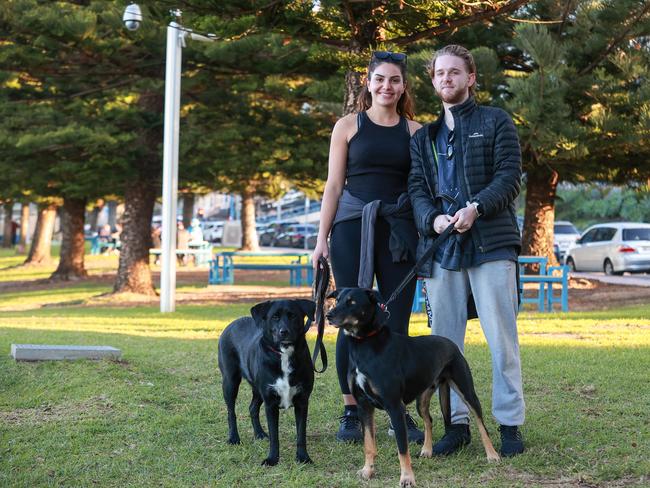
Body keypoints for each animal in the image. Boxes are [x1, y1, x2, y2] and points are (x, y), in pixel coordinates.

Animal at [216, 298, 316, 466]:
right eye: (275, 317)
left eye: (293, 316)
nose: (284, 332)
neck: (284, 354)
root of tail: (233, 322)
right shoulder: (271, 403)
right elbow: (275, 436)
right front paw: (272, 459)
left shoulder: (302, 401)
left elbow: (301, 434)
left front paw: (303, 457)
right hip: (230, 381)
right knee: (231, 412)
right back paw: (234, 438)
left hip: (257, 389)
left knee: (252, 408)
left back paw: (259, 434)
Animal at [326, 288, 498, 486]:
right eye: (337, 300)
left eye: (352, 302)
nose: (328, 315)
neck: (365, 344)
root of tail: (450, 343)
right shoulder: (364, 406)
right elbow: (369, 444)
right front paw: (368, 471)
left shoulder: (394, 407)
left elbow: (402, 449)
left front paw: (407, 478)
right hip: (422, 399)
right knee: (429, 420)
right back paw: (427, 450)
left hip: (466, 390)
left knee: (481, 423)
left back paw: (492, 455)